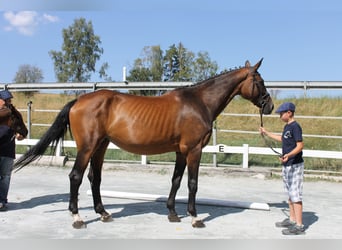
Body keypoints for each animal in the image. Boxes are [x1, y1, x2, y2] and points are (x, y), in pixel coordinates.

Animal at [14, 59, 274, 229]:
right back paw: (77, 218)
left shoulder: (181, 152)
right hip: (87, 147)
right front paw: (194, 217)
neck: (199, 102)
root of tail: (78, 100)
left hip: (101, 146)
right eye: (260, 81)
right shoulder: (194, 150)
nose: (270, 106)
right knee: (76, 177)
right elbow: (192, 184)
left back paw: (104, 213)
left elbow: (176, 180)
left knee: (94, 178)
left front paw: (172, 213)